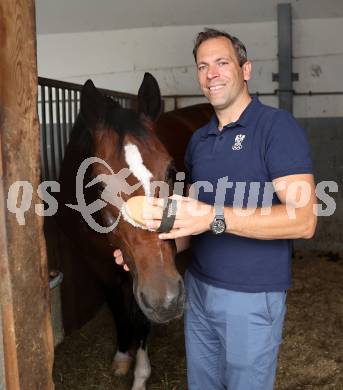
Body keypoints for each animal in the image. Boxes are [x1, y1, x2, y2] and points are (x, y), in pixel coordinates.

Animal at [56, 74, 187, 390]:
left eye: (171, 171)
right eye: (98, 183)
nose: (166, 300)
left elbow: (139, 317)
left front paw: (140, 374)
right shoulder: (98, 264)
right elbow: (117, 307)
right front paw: (122, 356)